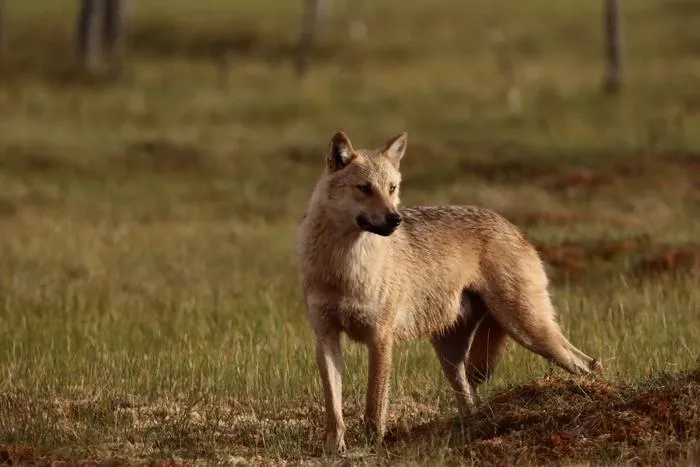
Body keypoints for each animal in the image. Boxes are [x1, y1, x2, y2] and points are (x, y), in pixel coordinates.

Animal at [296, 131, 603, 455]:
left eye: (392, 188)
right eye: (364, 188)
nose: (395, 219)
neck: (344, 266)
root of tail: (515, 228)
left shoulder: (380, 338)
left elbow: (374, 405)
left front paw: (372, 446)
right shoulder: (326, 337)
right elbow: (334, 407)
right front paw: (334, 448)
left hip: (530, 332)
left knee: (590, 364)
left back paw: (597, 396)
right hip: (453, 357)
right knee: (469, 397)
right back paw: (472, 429)